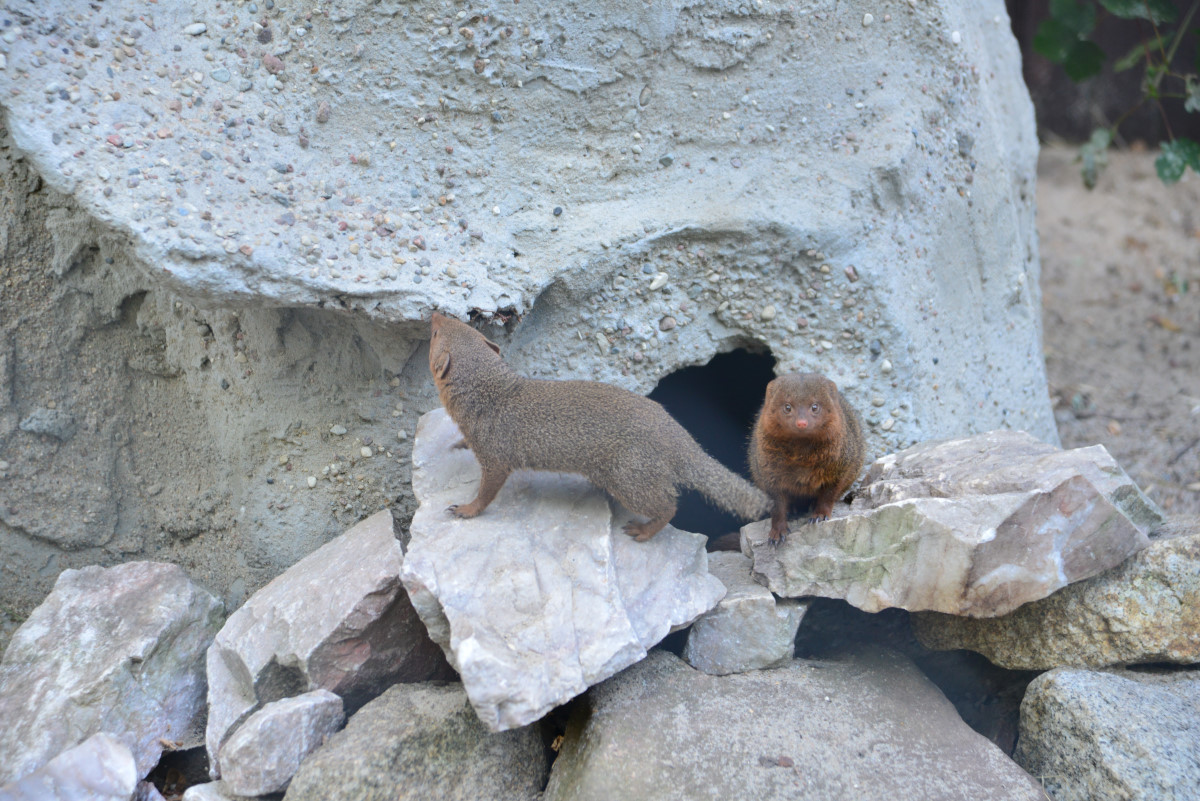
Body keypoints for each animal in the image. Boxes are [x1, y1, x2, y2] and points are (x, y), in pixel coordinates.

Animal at [428, 312, 770, 541]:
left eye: (434, 333)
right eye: (459, 324)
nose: (433, 314)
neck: (493, 395)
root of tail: (682, 442)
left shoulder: (495, 454)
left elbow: (487, 490)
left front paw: (465, 509)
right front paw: (459, 443)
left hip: (629, 476)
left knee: (668, 505)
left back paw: (642, 531)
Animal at [749, 372, 866, 544]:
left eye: (815, 406)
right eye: (787, 407)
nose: (802, 423)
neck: (802, 456)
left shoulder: (842, 466)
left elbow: (828, 495)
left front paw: (820, 515)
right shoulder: (768, 473)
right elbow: (777, 506)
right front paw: (777, 532)